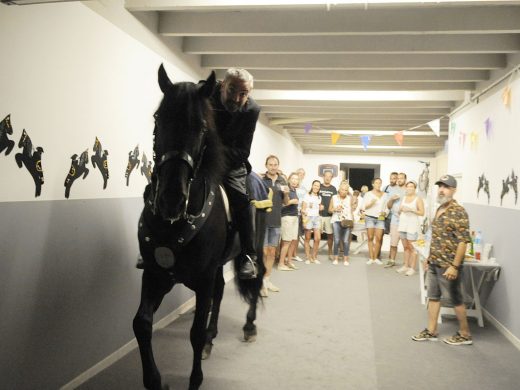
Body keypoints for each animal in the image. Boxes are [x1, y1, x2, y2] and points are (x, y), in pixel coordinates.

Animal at [132, 64, 268, 390]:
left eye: (203, 129)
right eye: (158, 119)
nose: (171, 198)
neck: (175, 220)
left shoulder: (202, 279)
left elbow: (193, 333)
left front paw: (195, 379)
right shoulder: (156, 275)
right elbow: (141, 324)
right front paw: (156, 381)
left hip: (255, 249)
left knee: (257, 278)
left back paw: (249, 326)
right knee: (220, 291)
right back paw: (212, 337)